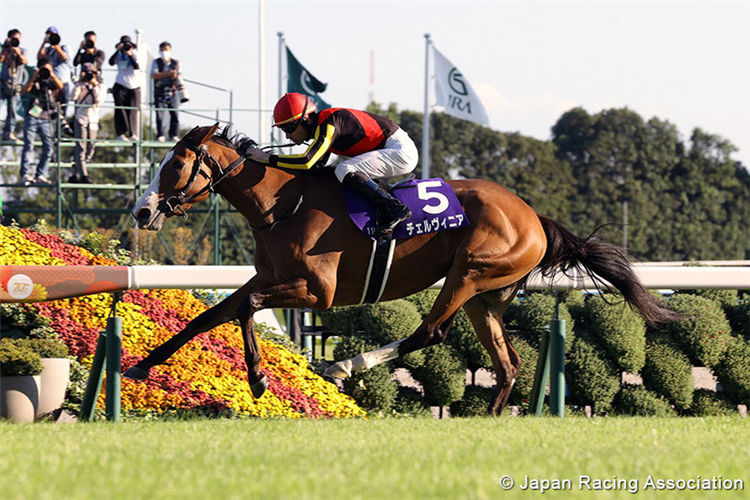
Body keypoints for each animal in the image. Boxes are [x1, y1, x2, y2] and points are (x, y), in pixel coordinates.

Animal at [128, 124, 680, 414]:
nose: (141, 211)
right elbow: (210, 314)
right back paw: (491, 419)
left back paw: (341, 366)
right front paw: (140, 365)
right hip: (485, 298)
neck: (283, 205)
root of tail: (535, 218)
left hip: (469, 273)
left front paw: (260, 379)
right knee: (507, 364)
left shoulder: (317, 291)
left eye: (175, 166)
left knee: (431, 332)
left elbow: (249, 308)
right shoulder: (267, 276)